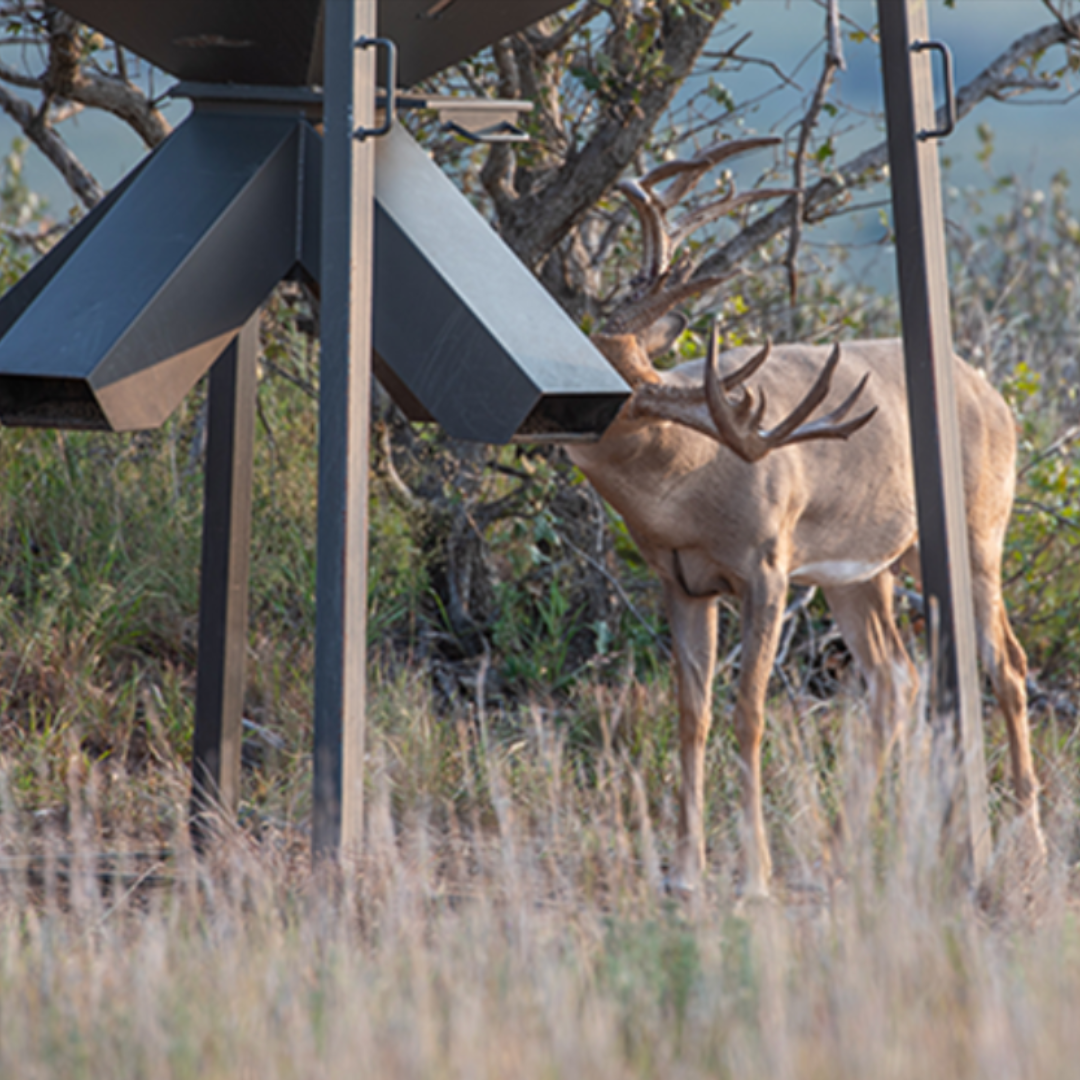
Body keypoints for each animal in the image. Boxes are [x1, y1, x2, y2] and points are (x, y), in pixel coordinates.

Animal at [566, 136, 1041, 899]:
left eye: (612, 388)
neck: (692, 479)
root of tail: (993, 391)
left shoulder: (767, 568)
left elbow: (749, 712)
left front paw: (753, 876)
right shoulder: (681, 581)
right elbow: (692, 714)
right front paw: (685, 872)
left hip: (978, 536)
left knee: (1009, 665)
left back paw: (1028, 849)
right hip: (863, 572)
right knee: (897, 679)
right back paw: (841, 857)